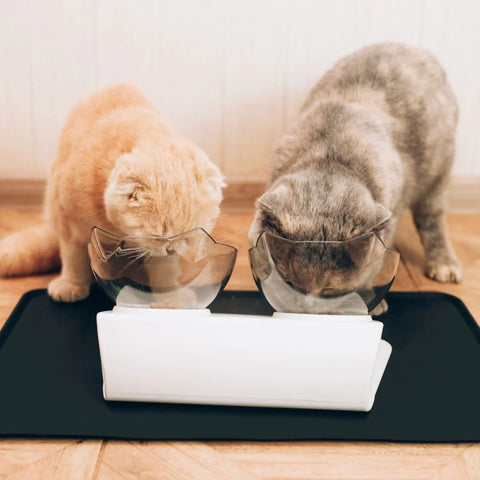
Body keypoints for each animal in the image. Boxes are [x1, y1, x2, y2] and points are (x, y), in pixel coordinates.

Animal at [0, 82, 225, 300]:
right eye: (157, 235)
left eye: (190, 234)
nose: (171, 249)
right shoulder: (67, 223)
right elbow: (74, 259)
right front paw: (72, 284)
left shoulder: (159, 256)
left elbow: (164, 270)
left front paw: (171, 297)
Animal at [248, 43, 462, 314]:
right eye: (289, 282)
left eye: (329, 290)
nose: (306, 307)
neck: (330, 156)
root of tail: (415, 49)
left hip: (438, 172)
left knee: (432, 219)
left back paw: (444, 264)